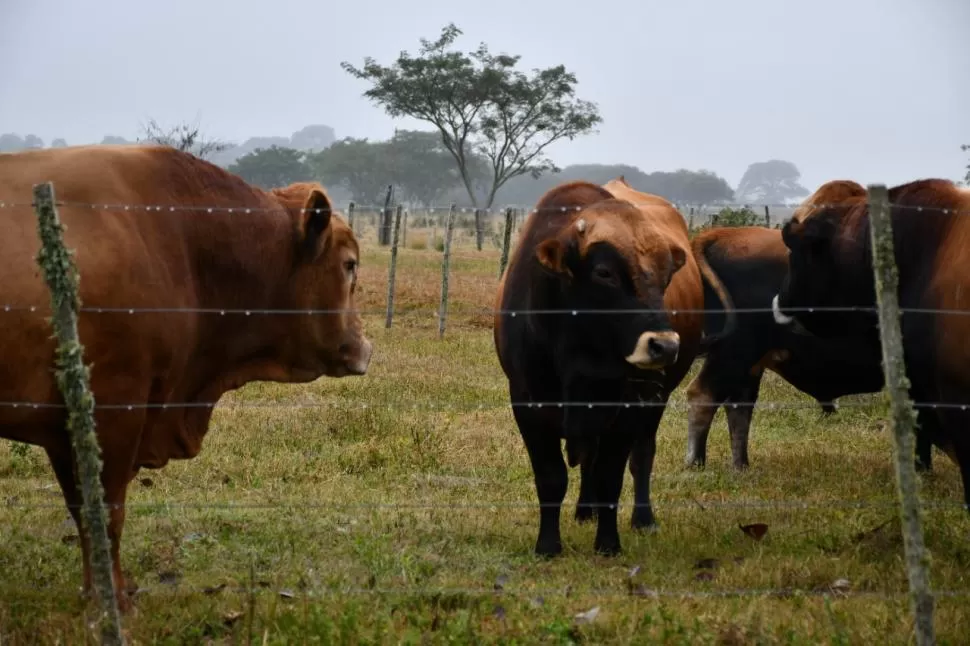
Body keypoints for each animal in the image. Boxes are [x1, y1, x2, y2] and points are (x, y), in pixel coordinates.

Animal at [0, 146, 372, 612]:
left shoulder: (64, 424)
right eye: (349, 264)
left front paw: (96, 591)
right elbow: (106, 512)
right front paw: (113, 601)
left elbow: (82, 511)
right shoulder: (113, 410)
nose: (364, 347)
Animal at [496, 176, 700, 556]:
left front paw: (608, 544)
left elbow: (611, 477)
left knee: (641, 456)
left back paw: (642, 518)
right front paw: (548, 545)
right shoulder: (527, 403)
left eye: (667, 274)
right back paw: (583, 510)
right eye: (604, 272)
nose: (665, 346)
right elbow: (551, 477)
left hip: (655, 400)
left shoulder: (629, 406)